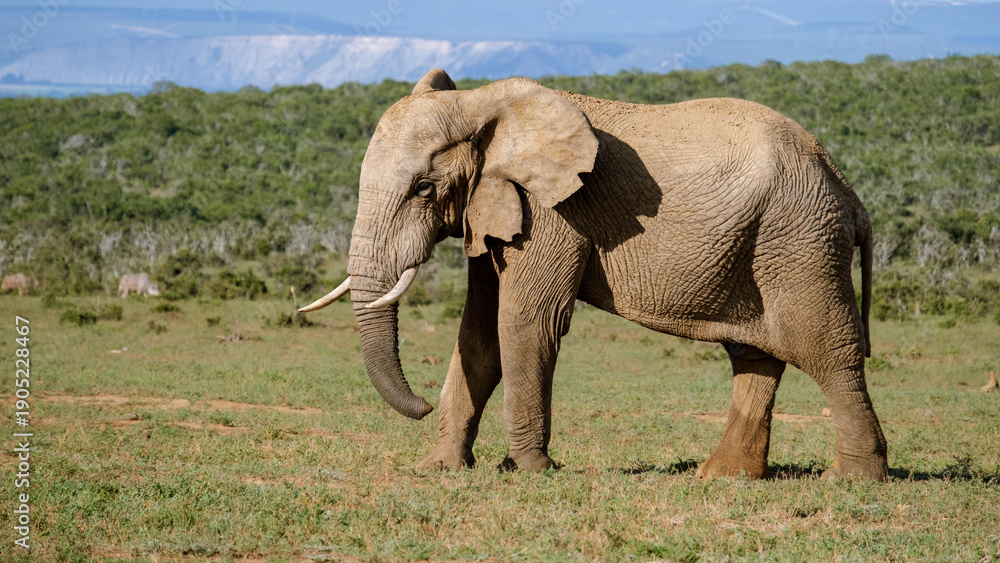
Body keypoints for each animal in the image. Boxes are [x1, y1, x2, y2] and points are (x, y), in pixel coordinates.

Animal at [300, 68, 888, 481]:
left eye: (423, 187)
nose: (419, 406)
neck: (483, 103)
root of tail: (846, 187)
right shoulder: (496, 205)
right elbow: (479, 334)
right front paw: (441, 469)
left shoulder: (554, 212)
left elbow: (525, 321)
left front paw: (528, 471)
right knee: (756, 354)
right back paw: (721, 477)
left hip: (799, 240)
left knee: (825, 348)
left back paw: (852, 479)